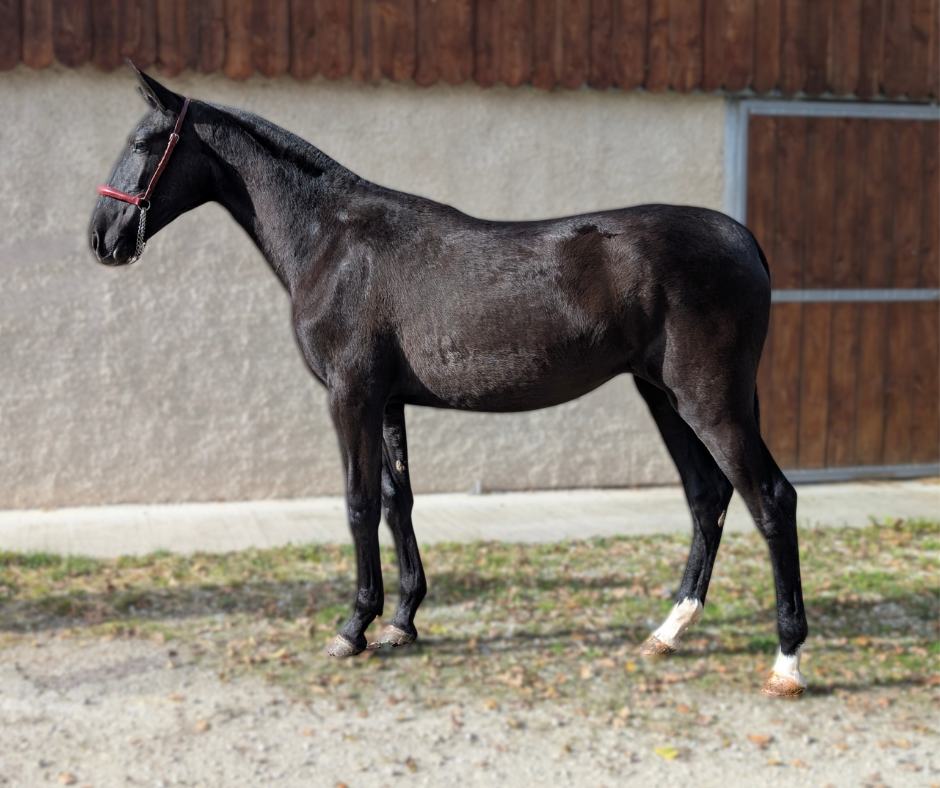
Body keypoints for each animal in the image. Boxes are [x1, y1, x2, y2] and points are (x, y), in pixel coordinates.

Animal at [89, 67, 808, 698]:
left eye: (143, 143)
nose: (101, 239)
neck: (334, 242)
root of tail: (744, 240)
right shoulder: (386, 403)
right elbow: (396, 501)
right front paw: (402, 622)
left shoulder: (349, 397)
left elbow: (358, 504)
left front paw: (354, 627)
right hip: (664, 398)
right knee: (707, 498)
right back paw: (669, 631)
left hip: (710, 402)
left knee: (771, 499)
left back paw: (787, 662)